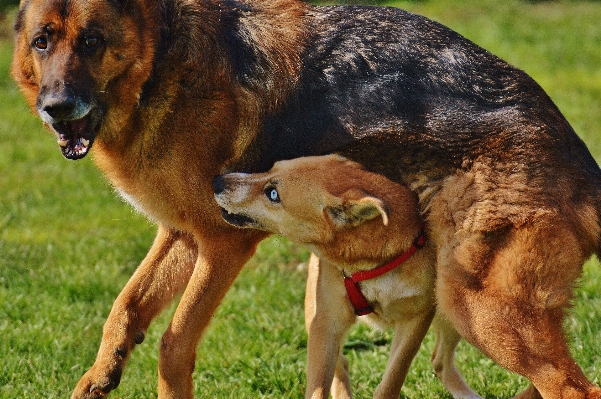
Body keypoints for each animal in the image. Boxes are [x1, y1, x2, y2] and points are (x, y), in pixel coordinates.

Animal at [214, 155, 482, 399]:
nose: (217, 181)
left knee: (439, 361)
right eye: (271, 167)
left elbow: (391, 381)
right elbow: (318, 387)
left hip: (457, 315)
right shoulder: (326, 320)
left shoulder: (415, 319)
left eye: (273, 194)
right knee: (341, 363)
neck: (372, 266)